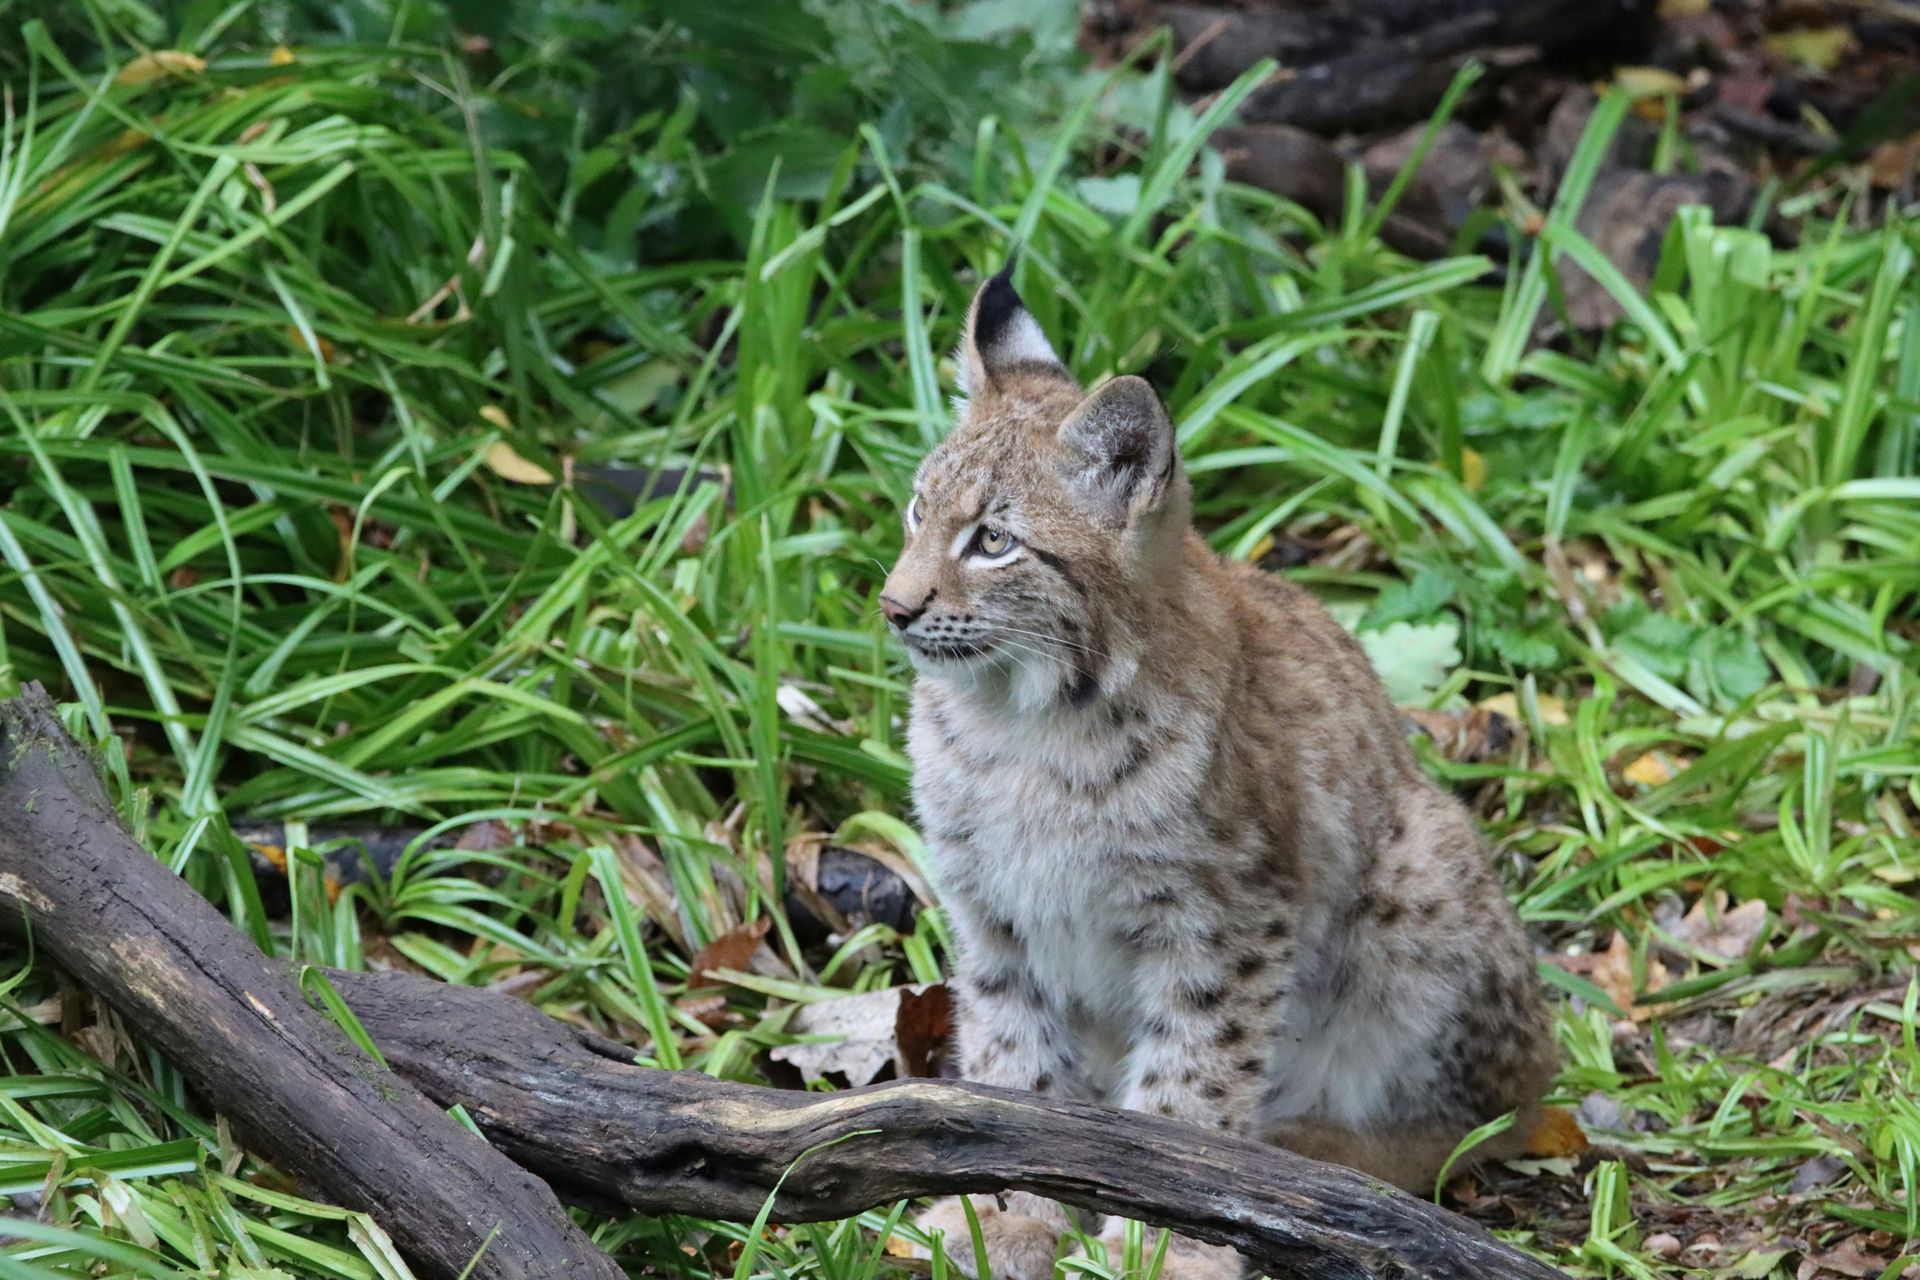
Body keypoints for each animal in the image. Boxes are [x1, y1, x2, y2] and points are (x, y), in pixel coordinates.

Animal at [883, 268, 1559, 1280]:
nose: (893, 606)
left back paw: (1312, 1160)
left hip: (1418, 860)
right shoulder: (993, 911)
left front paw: (1166, 1241)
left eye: (995, 542)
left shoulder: (1225, 917)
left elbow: (1192, 1083)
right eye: (919, 511)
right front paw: (1006, 1210)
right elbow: (1015, 1061)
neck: (1020, 722)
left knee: (1490, 1116)